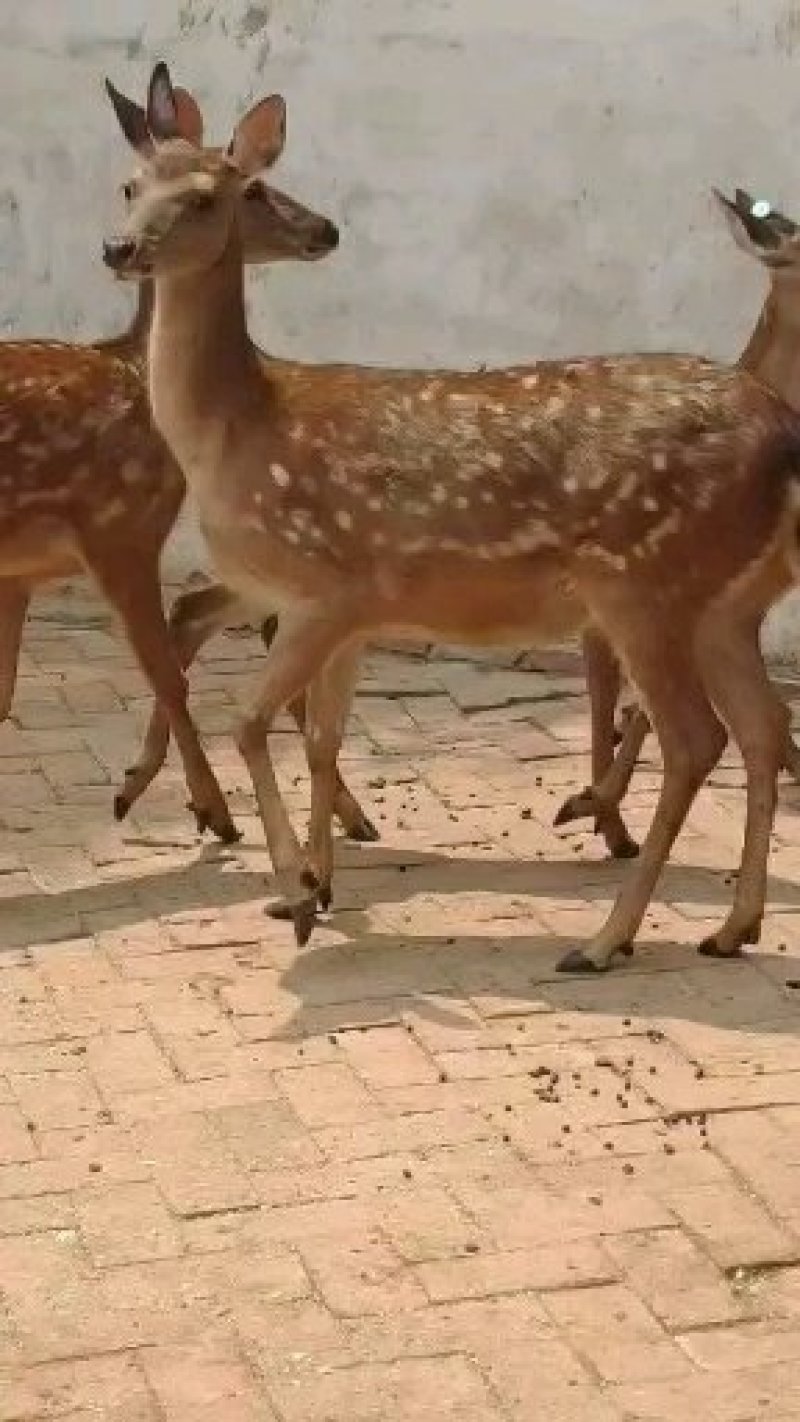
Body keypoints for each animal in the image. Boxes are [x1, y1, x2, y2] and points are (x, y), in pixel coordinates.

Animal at [0, 82, 377, 848]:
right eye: (253, 189)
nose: (326, 228)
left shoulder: (22, 572)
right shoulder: (119, 528)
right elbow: (167, 672)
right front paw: (212, 811)